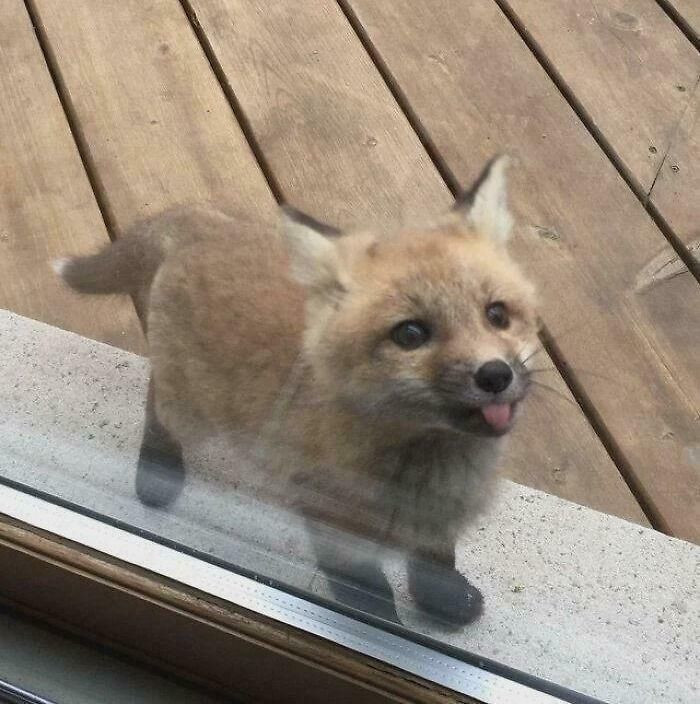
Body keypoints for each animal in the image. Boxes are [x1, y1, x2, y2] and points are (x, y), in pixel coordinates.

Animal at [55, 156, 539, 625]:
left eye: (497, 314)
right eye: (411, 334)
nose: (494, 375)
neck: (428, 468)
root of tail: (204, 225)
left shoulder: (440, 520)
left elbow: (435, 562)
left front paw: (444, 600)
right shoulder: (330, 519)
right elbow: (369, 593)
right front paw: (374, 627)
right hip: (191, 410)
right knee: (158, 404)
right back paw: (158, 471)